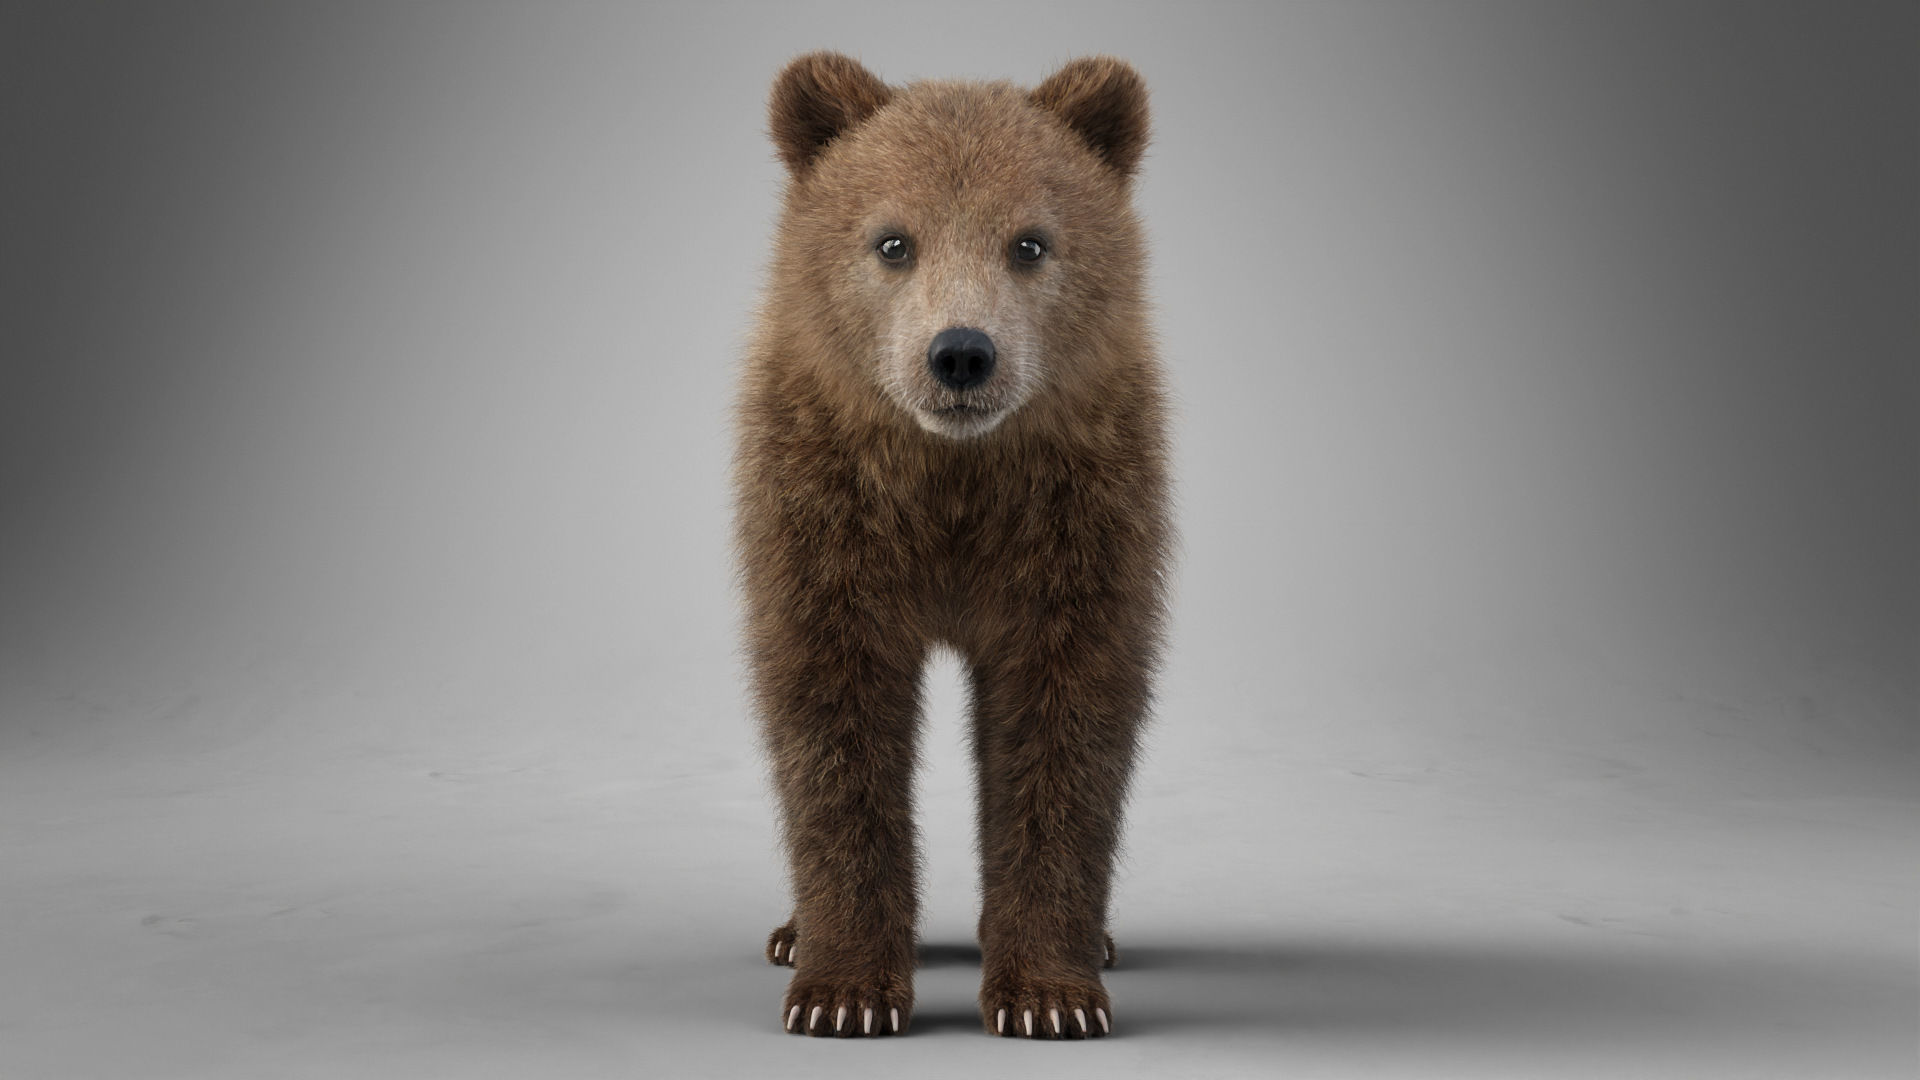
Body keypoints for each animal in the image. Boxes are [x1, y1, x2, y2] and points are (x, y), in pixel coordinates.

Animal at [733, 51, 1171, 1039]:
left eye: (1031, 243)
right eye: (894, 241)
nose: (962, 353)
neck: (952, 480)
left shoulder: (1076, 519)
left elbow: (1065, 726)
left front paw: (1050, 995)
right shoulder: (826, 515)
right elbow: (833, 725)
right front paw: (840, 991)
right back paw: (788, 931)